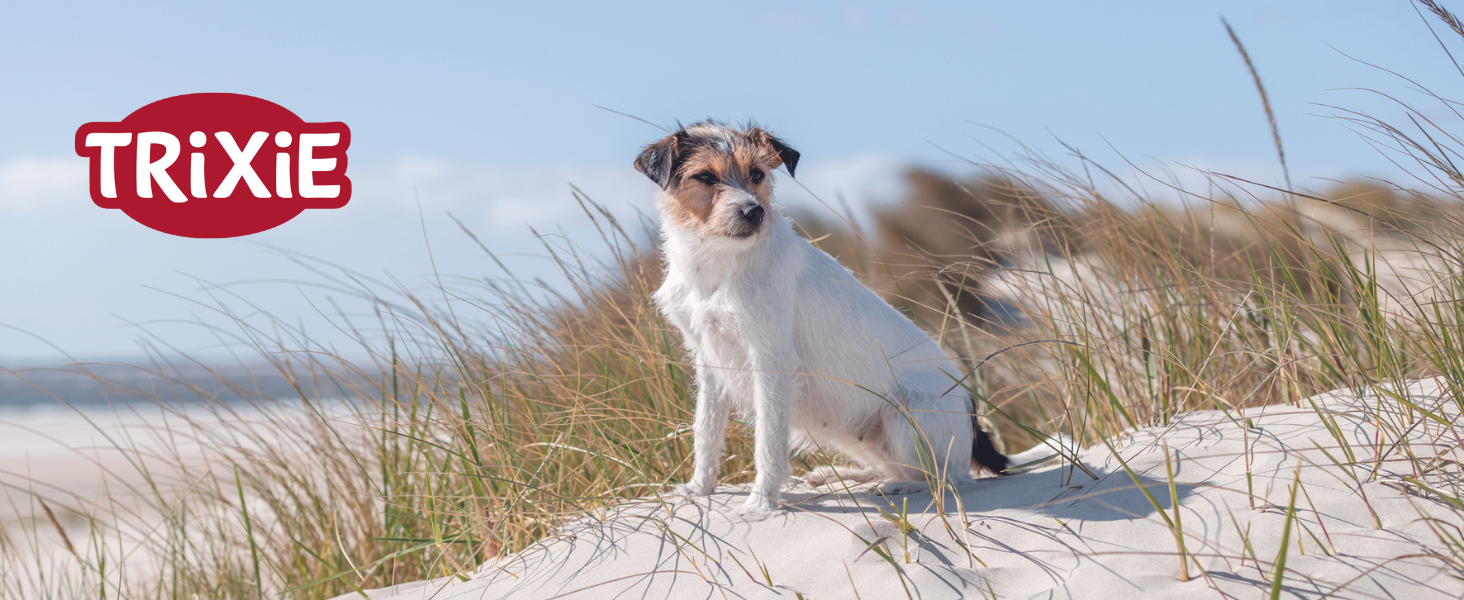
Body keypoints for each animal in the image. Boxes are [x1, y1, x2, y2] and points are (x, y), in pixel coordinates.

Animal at [641, 122, 1018, 515]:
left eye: (757, 174)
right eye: (704, 176)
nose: (754, 212)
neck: (717, 262)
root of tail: (972, 422)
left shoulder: (771, 362)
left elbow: (768, 443)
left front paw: (762, 503)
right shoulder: (709, 362)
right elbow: (706, 433)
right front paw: (699, 489)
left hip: (903, 419)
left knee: (947, 477)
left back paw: (898, 486)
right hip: (853, 432)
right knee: (892, 465)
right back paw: (842, 475)